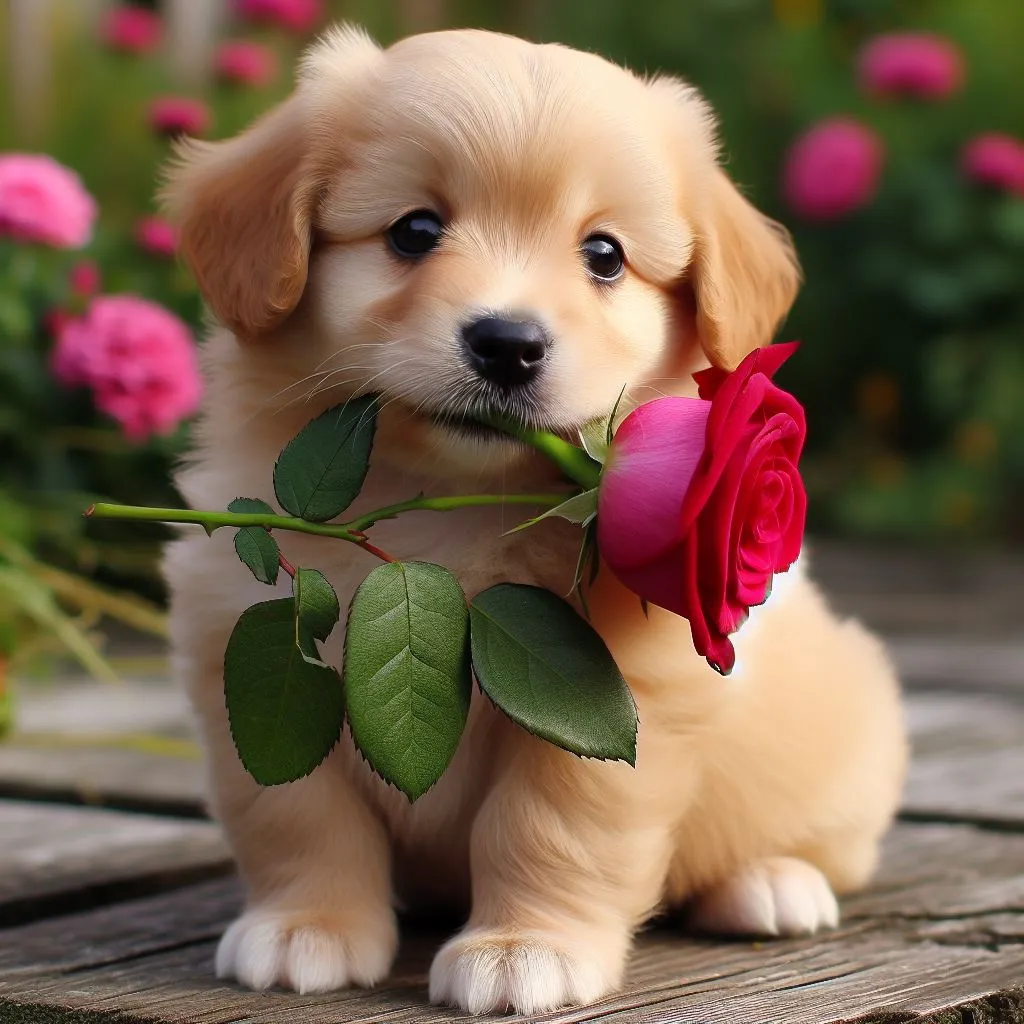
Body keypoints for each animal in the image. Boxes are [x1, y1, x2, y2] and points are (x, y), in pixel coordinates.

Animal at [163, 24, 909, 1015]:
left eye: (605, 255)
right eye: (415, 231)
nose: (507, 344)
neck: (441, 522)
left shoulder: (608, 691)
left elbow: (548, 823)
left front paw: (525, 948)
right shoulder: (260, 655)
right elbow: (297, 815)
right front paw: (305, 925)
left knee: (820, 845)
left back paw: (769, 883)